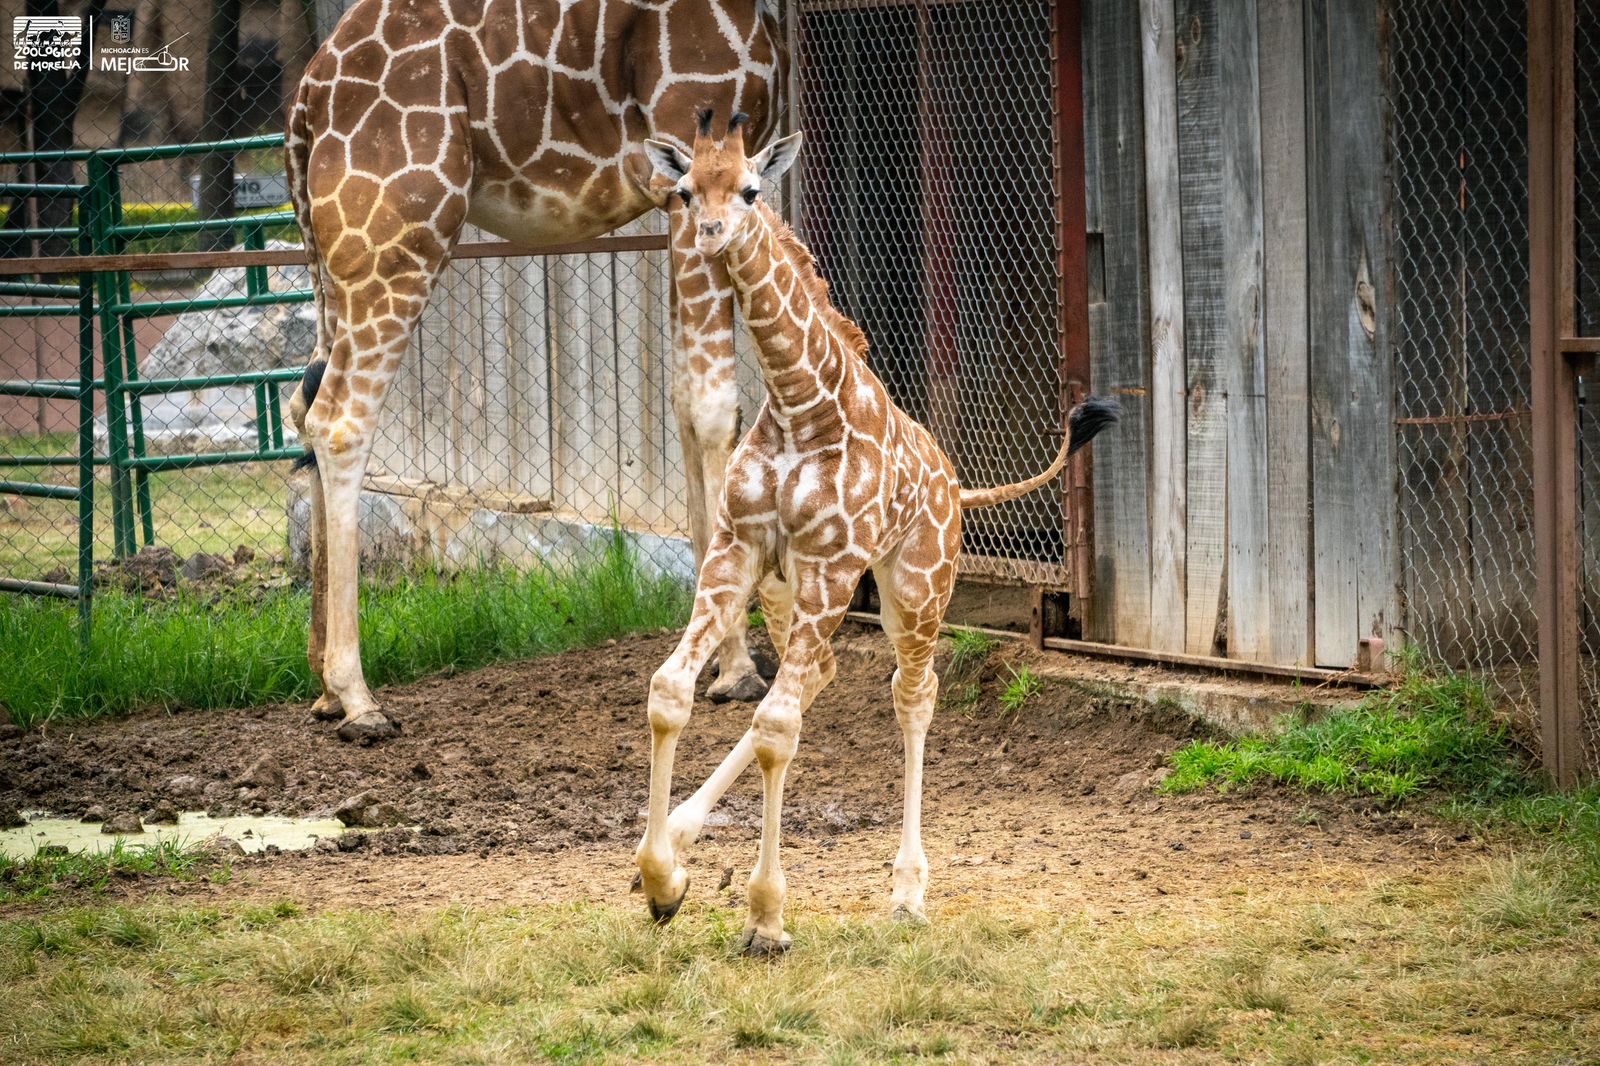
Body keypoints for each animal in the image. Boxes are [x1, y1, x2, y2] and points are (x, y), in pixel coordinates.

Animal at [283, 0, 784, 742]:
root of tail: (307, 100)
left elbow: (684, 401)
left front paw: (714, 654)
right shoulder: (695, 158)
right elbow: (716, 407)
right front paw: (739, 667)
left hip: (330, 254)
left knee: (303, 402)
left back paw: (321, 687)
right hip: (396, 236)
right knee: (340, 420)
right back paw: (358, 696)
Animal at [632, 114, 1119, 954]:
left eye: (751, 190)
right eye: (687, 190)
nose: (711, 236)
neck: (799, 404)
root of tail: (956, 486)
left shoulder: (832, 562)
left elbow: (778, 726)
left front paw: (766, 916)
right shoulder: (739, 547)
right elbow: (673, 692)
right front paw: (664, 881)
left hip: (916, 589)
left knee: (911, 696)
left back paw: (908, 892)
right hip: (793, 589)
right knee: (823, 674)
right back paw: (687, 832)